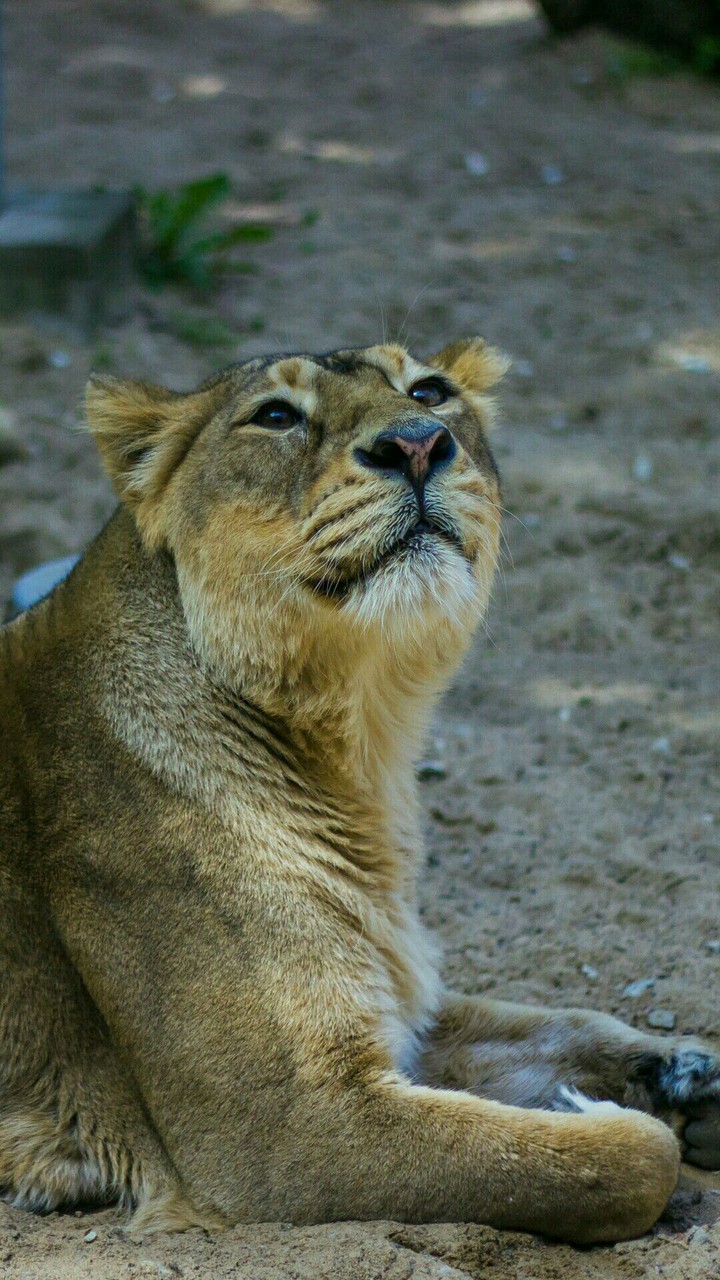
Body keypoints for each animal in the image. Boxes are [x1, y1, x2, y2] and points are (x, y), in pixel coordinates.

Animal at [0, 339, 718, 1244]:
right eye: (276, 415)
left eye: (431, 392)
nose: (415, 444)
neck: (358, 758)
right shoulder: (284, 1127)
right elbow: (615, 1162)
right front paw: (613, 1116)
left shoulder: (401, 1013)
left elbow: (563, 1024)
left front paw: (687, 1075)